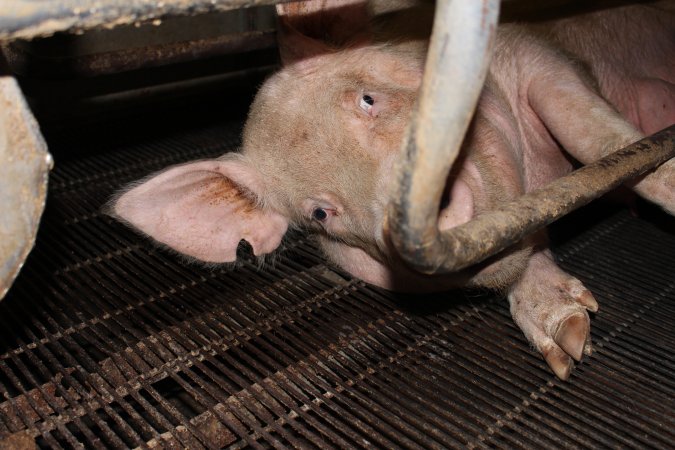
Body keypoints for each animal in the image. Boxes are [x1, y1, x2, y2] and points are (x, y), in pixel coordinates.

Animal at [107, 0, 675, 380]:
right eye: (320, 212)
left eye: (367, 99)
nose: (420, 225)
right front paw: (571, 345)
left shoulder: (538, 57)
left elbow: (602, 138)